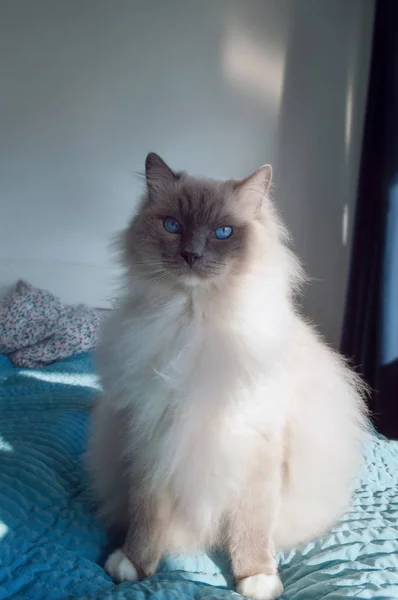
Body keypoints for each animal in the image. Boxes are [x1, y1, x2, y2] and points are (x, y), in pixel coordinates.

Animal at [88, 154, 368, 600]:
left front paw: (256, 579)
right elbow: (146, 516)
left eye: (223, 233)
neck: (199, 319)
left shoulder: (253, 444)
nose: (191, 254)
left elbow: (251, 527)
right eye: (173, 226)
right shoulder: (154, 439)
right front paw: (134, 564)